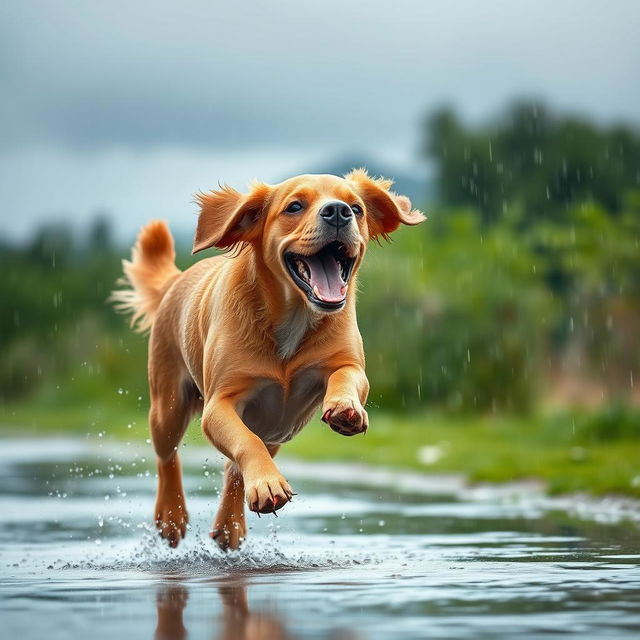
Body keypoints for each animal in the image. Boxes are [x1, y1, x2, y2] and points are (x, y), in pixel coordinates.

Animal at [112, 170, 424, 552]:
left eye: (356, 208)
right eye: (294, 206)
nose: (337, 212)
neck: (293, 317)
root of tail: (176, 280)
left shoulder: (346, 364)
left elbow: (347, 376)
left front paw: (345, 408)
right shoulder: (219, 405)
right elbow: (246, 443)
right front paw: (268, 485)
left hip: (277, 429)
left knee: (234, 467)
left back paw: (229, 526)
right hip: (167, 406)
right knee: (168, 456)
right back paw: (172, 517)